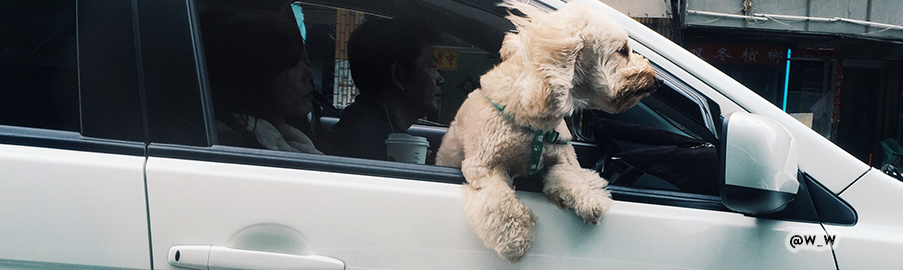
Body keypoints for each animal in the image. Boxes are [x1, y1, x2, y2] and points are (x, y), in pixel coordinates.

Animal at [436, 0, 656, 262]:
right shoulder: (484, 168)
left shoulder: (562, 158)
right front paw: (515, 240)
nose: (656, 79)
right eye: (622, 50)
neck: (536, 124)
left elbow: (571, 176)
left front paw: (589, 199)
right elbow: (501, 203)